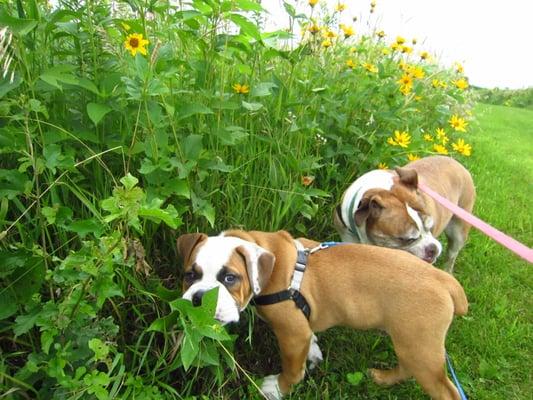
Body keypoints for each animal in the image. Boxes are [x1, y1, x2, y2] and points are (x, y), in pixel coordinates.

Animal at [178, 230, 466, 398]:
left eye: (230, 278)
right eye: (190, 275)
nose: (199, 298)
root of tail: (444, 280)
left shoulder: (292, 334)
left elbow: (293, 368)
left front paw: (279, 388)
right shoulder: (303, 330)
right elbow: (311, 342)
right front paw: (314, 353)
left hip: (420, 348)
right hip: (411, 344)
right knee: (406, 367)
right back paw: (383, 378)